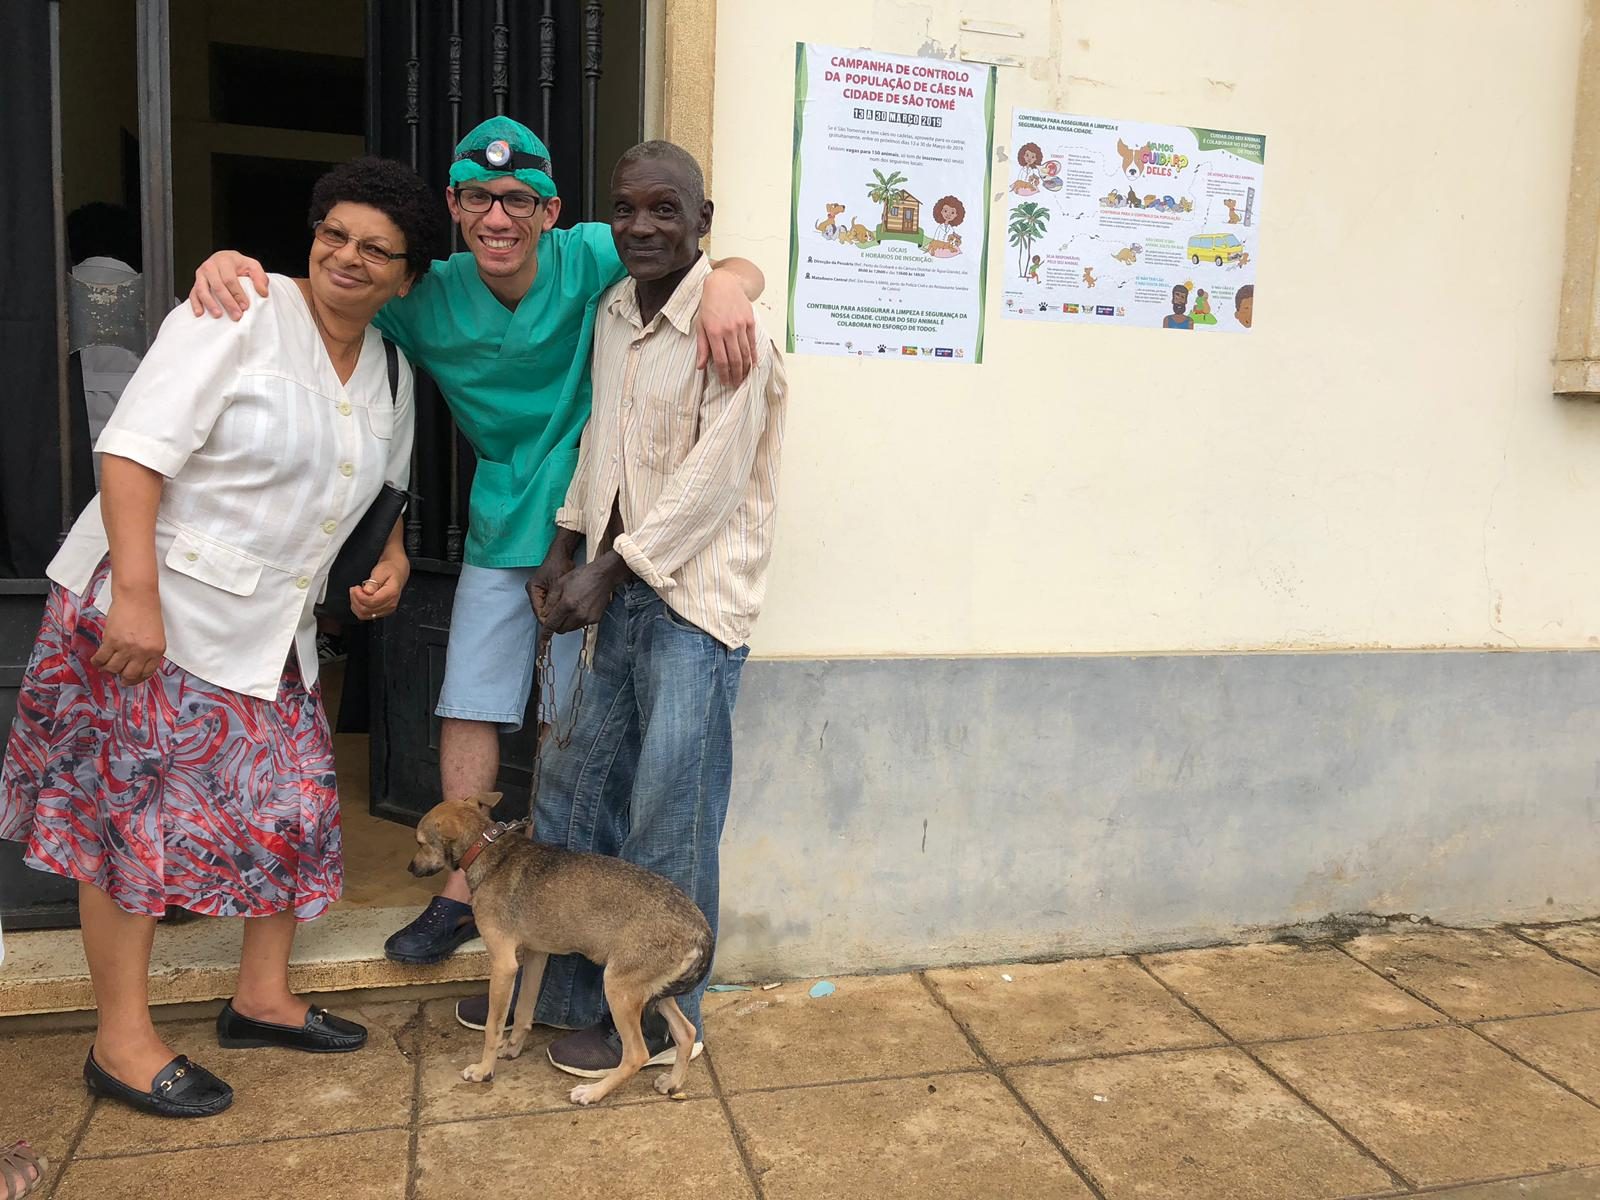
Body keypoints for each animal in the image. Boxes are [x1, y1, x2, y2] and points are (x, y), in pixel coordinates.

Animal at [412, 800, 713, 1107]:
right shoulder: (535, 955)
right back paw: (673, 1082)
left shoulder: (503, 964)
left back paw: (592, 1092)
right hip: (652, 991)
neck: (489, 848)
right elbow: (523, 1011)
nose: (410, 867)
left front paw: (484, 1070)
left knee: (636, 1054)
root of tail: (700, 929)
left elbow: (492, 1028)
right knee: (686, 1032)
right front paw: (512, 1048)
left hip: (619, 989)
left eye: (420, 842)